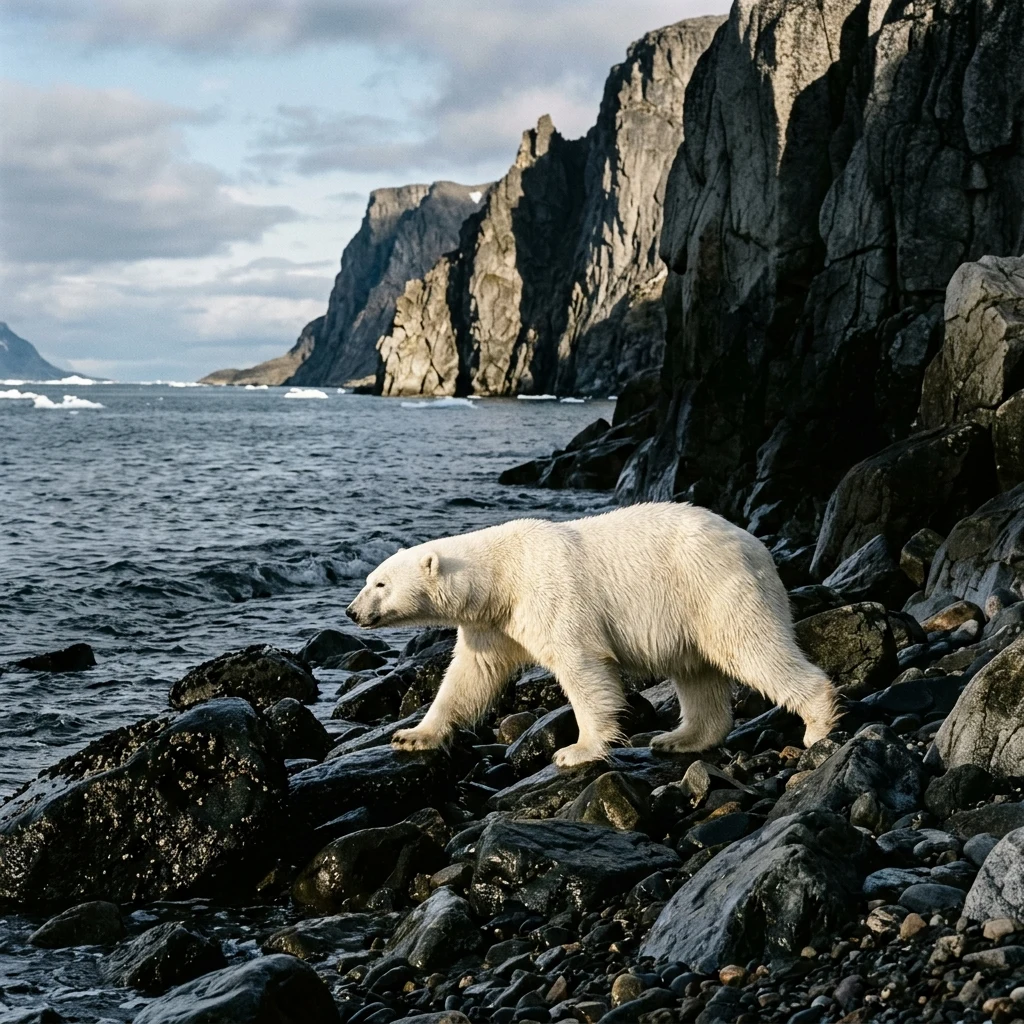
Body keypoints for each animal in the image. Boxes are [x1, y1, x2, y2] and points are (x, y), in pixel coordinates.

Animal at [346, 502, 838, 767]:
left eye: (380, 584)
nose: (351, 611)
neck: (502, 575)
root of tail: (758, 547)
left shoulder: (552, 594)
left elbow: (582, 666)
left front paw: (577, 750)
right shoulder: (495, 624)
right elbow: (470, 676)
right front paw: (413, 735)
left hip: (714, 587)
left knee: (751, 648)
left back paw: (817, 725)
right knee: (697, 672)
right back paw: (679, 738)